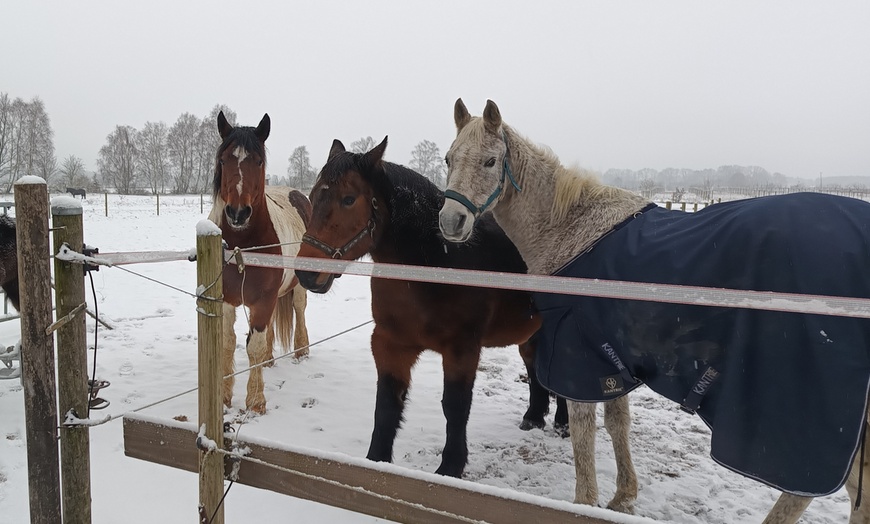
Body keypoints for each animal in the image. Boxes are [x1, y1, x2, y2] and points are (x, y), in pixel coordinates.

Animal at [209, 111, 314, 414]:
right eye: (223, 160)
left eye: (258, 161)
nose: (238, 213)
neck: (242, 247)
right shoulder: (227, 299)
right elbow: (228, 344)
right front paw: (224, 397)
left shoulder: (263, 300)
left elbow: (252, 346)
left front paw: (255, 401)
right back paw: (269, 359)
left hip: (296, 285)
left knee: (299, 308)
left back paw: (301, 350)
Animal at [296, 138, 576, 478]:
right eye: (313, 196)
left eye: (348, 199)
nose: (306, 274)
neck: (438, 263)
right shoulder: (390, 344)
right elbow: (387, 406)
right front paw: (376, 462)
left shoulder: (462, 348)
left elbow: (455, 406)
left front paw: (450, 467)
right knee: (534, 365)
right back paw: (534, 417)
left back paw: (563, 424)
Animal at [440, 98, 870, 520]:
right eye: (448, 158)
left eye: (490, 161)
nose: (450, 221)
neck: (570, 230)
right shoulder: (610, 358)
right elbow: (617, 423)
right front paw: (623, 497)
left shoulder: (577, 358)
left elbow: (584, 432)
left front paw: (585, 503)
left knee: (806, 492)